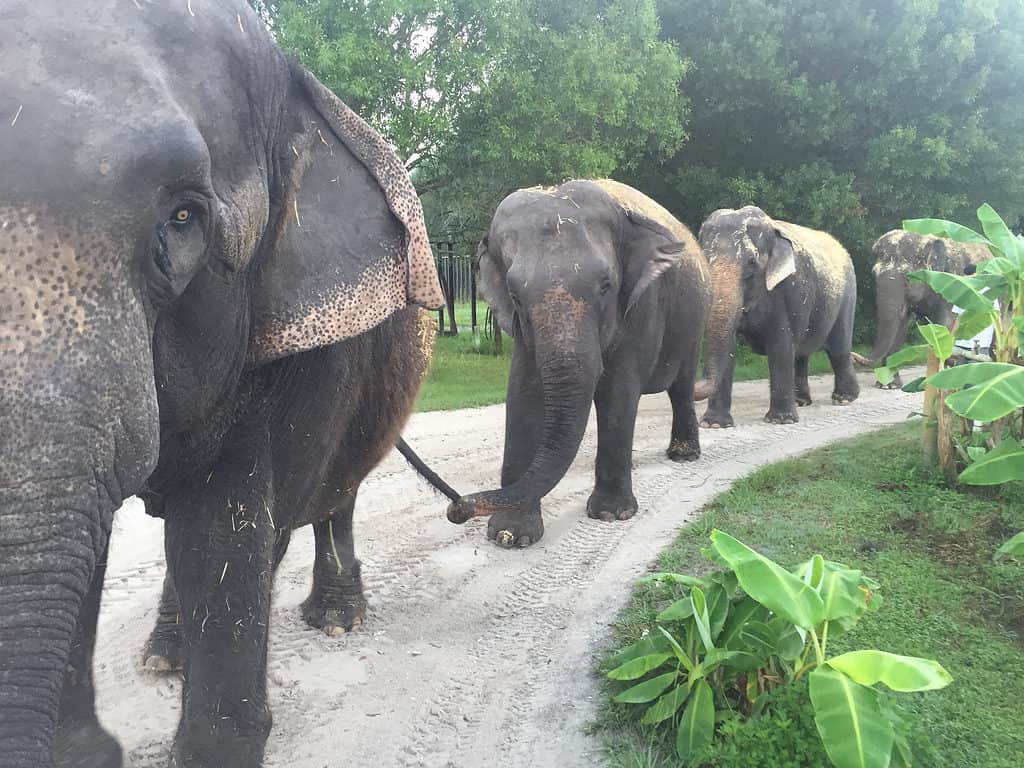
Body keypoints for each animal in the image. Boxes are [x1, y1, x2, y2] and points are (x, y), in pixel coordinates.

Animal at [448, 179, 712, 552]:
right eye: (515, 296)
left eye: (606, 286)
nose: (458, 507)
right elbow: (523, 394)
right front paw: (510, 535)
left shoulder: (642, 305)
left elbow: (618, 393)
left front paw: (611, 515)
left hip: (693, 321)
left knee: (681, 387)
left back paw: (683, 455)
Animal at [692, 205, 860, 428]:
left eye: (751, 261)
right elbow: (729, 346)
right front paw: (714, 424)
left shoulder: (788, 289)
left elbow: (780, 344)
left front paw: (780, 421)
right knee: (801, 353)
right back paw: (801, 402)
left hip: (848, 294)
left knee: (838, 347)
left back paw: (844, 399)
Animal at [856, 227, 991, 385]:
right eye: (874, 275)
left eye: (908, 278)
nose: (854, 355)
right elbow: (902, 324)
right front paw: (888, 385)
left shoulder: (951, 284)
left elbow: (945, 323)